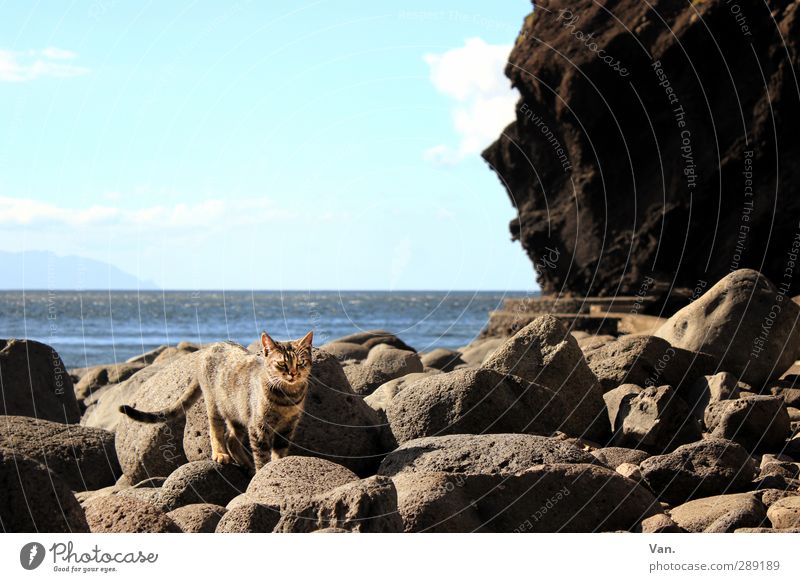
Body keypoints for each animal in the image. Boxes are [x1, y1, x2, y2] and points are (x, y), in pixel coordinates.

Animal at [119, 330, 312, 472]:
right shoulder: (258, 427)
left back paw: (245, 463)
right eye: (282, 364)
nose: (293, 373)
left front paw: (277, 465)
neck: (288, 398)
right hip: (214, 404)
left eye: (301, 362)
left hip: (237, 411)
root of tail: (210, 347)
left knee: (231, 439)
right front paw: (262, 471)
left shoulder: (288, 427)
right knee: (217, 431)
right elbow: (262, 455)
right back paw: (220, 454)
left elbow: (279, 452)